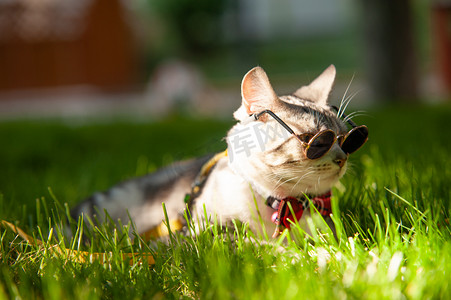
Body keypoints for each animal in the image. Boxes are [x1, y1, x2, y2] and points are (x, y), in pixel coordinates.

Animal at [69, 65, 368, 239]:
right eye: (314, 141)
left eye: (347, 139)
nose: (342, 159)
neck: (281, 203)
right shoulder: (201, 232)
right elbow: (243, 242)